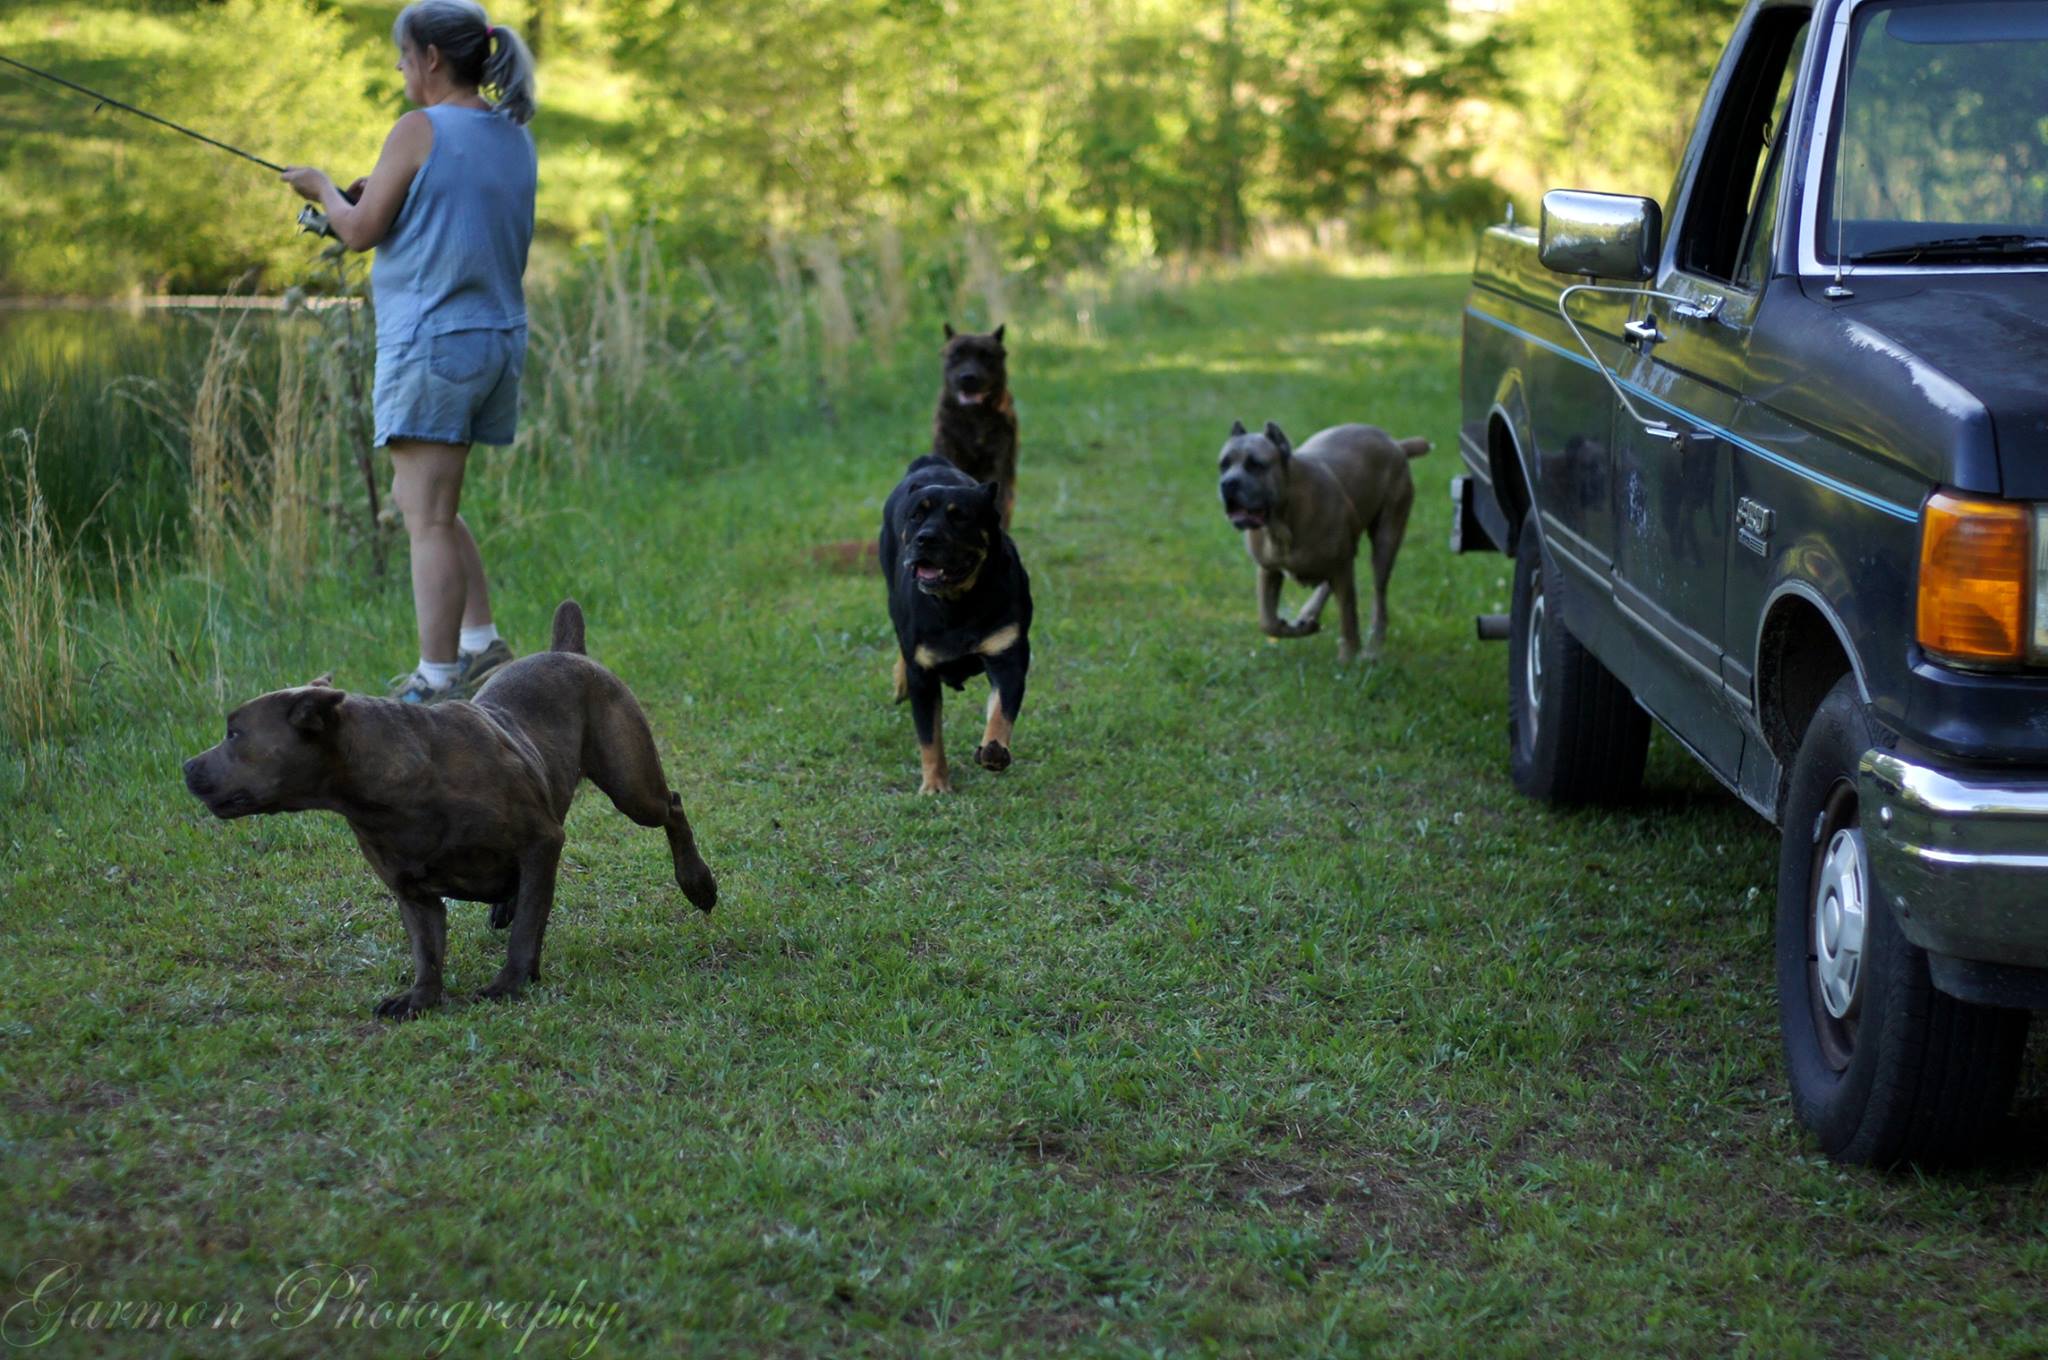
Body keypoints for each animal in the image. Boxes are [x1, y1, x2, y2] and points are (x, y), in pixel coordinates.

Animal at [178, 602, 720, 1015]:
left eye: (235, 733)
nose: (186, 765)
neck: (390, 788)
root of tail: (568, 652)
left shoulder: (539, 839)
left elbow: (528, 926)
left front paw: (509, 982)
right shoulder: (414, 892)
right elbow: (428, 951)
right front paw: (420, 998)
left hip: (632, 787)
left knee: (671, 808)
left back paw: (698, 883)